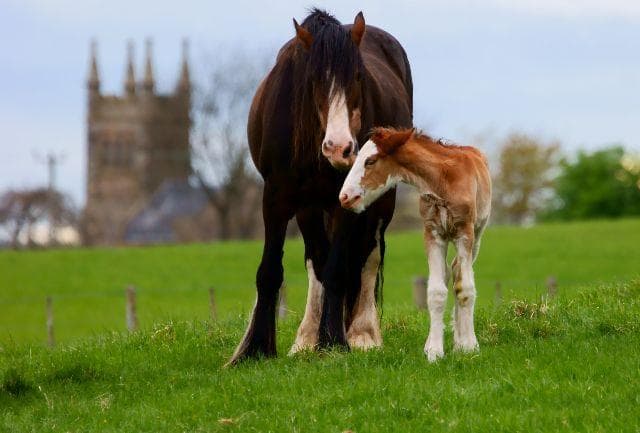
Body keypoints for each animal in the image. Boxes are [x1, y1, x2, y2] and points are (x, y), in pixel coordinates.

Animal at [227, 9, 413, 365]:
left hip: (381, 203)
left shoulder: (346, 200)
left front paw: (335, 342)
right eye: (313, 80)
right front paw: (255, 349)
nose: (339, 148)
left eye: (358, 76)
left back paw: (362, 334)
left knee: (368, 256)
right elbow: (271, 271)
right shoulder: (275, 198)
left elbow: (338, 270)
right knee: (317, 258)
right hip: (309, 208)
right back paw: (306, 338)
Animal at [339, 127, 492, 361]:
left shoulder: (464, 234)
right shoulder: (432, 233)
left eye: (370, 161)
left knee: (459, 274)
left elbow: (465, 288)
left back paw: (462, 340)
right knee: (450, 273)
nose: (344, 197)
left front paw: (468, 346)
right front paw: (434, 351)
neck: (443, 181)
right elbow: (436, 291)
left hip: (477, 235)